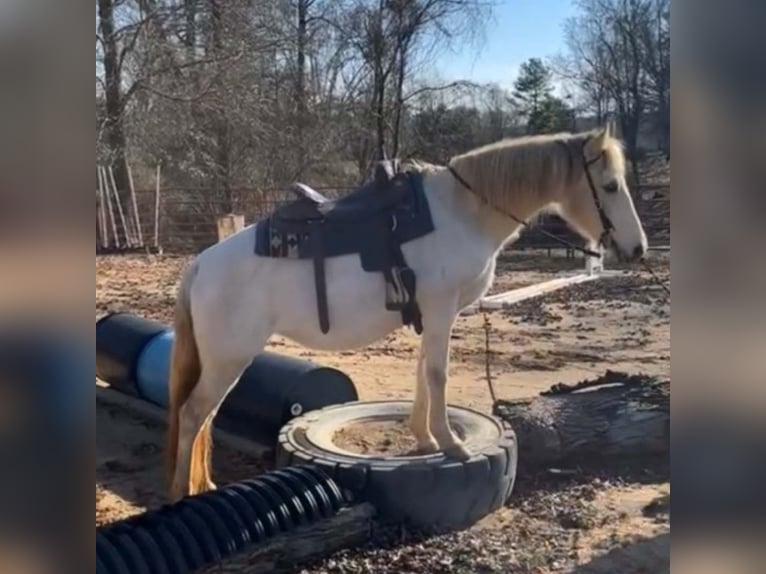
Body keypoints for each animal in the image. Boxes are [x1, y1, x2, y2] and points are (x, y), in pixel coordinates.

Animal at [166, 124, 648, 502]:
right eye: (609, 186)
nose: (637, 248)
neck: (464, 211)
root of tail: (200, 265)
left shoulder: (434, 314)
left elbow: (423, 371)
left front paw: (424, 437)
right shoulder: (441, 307)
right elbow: (437, 374)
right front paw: (452, 444)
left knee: (205, 418)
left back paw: (204, 485)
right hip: (228, 359)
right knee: (192, 416)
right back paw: (181, 494)